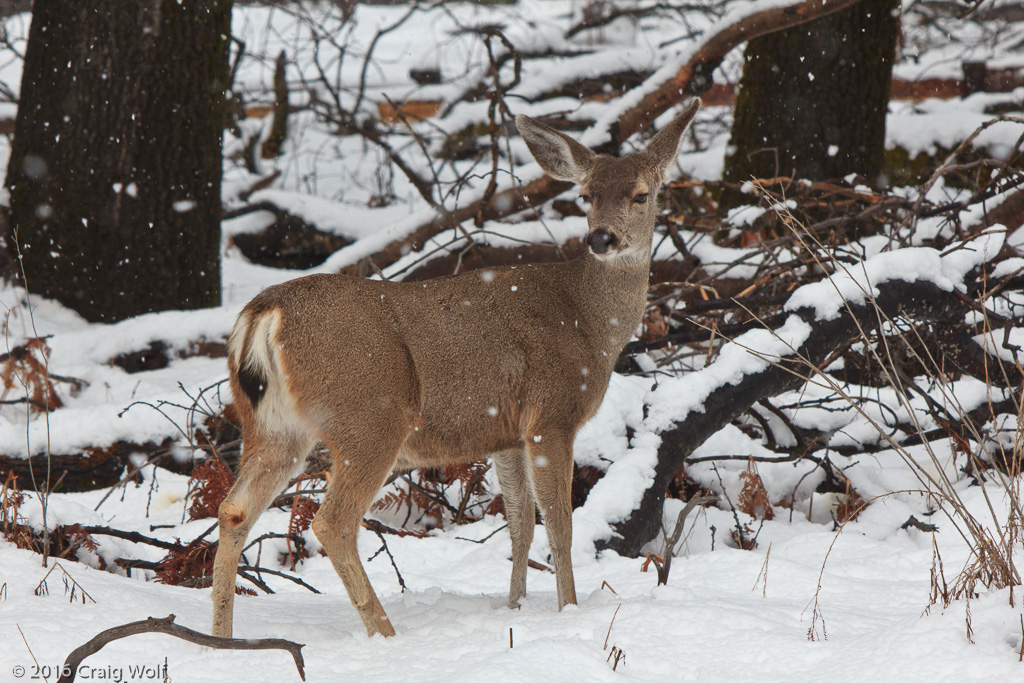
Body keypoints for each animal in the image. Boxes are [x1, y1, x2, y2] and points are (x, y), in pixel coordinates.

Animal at [210, 98, 700, 638]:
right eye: (587, 195)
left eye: (640, 195)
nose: (601, 238)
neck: (590, 321)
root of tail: (264, 312)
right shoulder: (552, 414)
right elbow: (560, 524)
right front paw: (568, 610)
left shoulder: (506, 432)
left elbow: (520, 525)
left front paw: (514, 609)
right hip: (372, 414)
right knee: (331, 521)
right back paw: (385, 633)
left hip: (273, 426)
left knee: (234, 510)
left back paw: (222, 639)